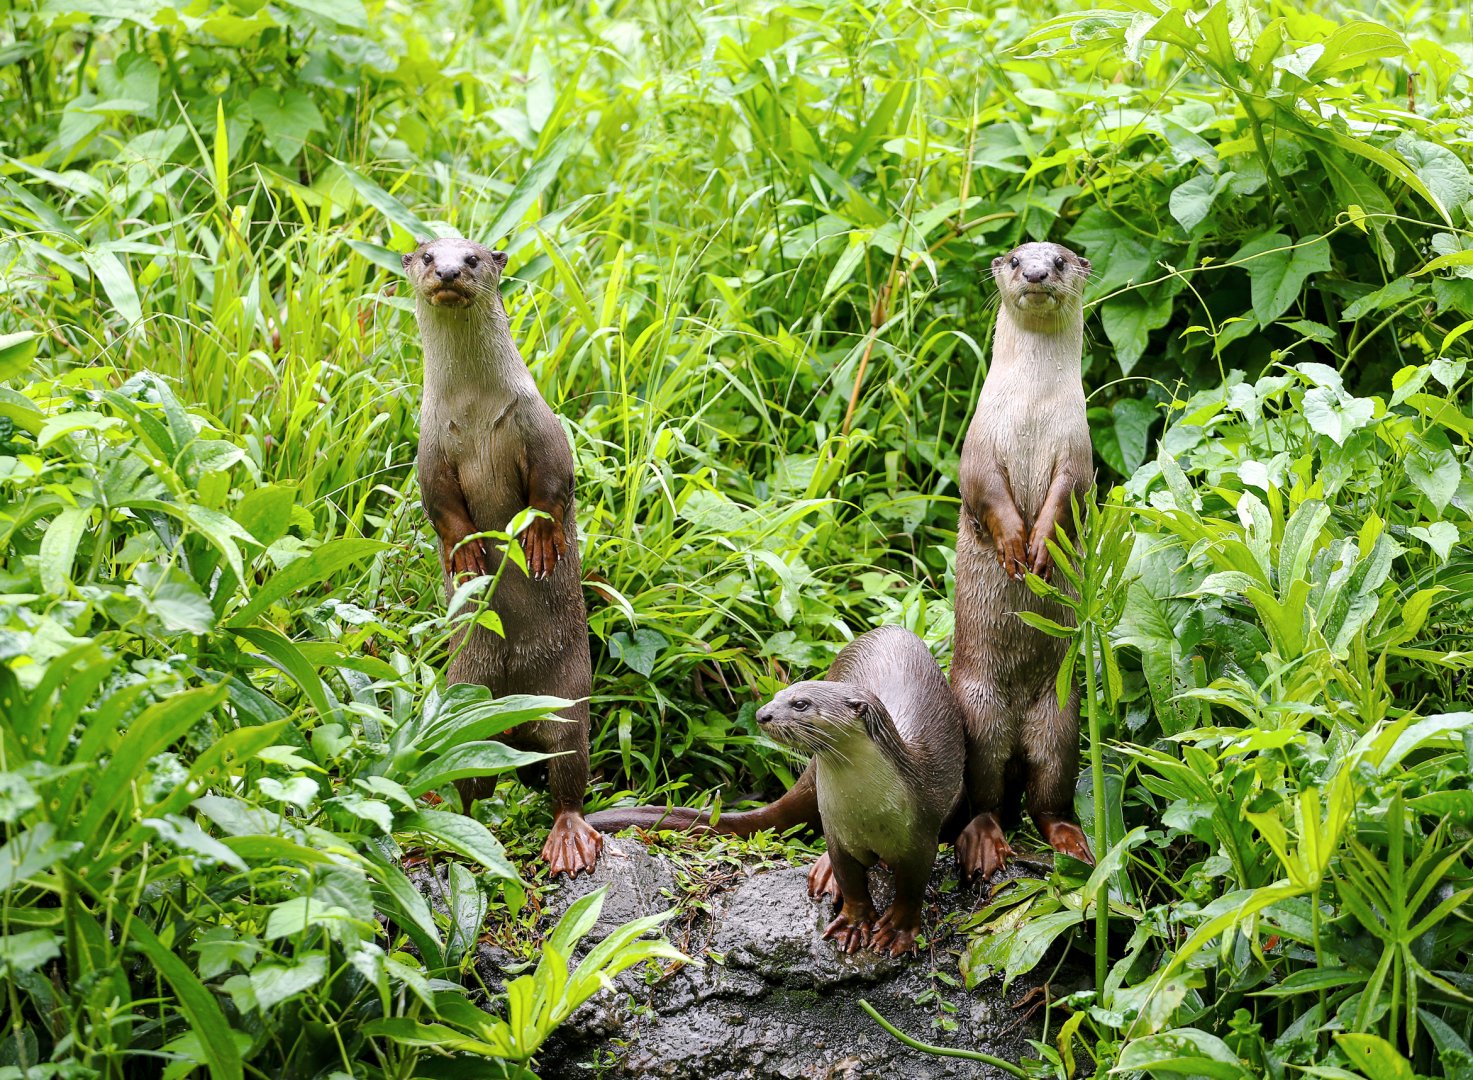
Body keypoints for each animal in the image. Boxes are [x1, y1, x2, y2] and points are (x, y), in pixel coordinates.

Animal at [406, 236, 601, 878]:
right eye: (425, 255)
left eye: (471, 258)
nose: (446, 271)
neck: (472, 411)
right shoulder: (429, 448)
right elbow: (442, 509)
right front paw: (468, 557)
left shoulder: (540, 424)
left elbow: (553, 485)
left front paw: (538, 542)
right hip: (466, 697)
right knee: (471, 782)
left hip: (568, 700)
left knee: (567, 776)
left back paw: (569, 840)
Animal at [589, 626, 964, 955]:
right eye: (777, 695)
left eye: (800, 704)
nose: (762, 713)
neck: (868, 810)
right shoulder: (839, 833)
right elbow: (851, 882)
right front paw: (854, 923)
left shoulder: (921, 836)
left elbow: (911, 893)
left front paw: (896, 932)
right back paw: (824, 873)